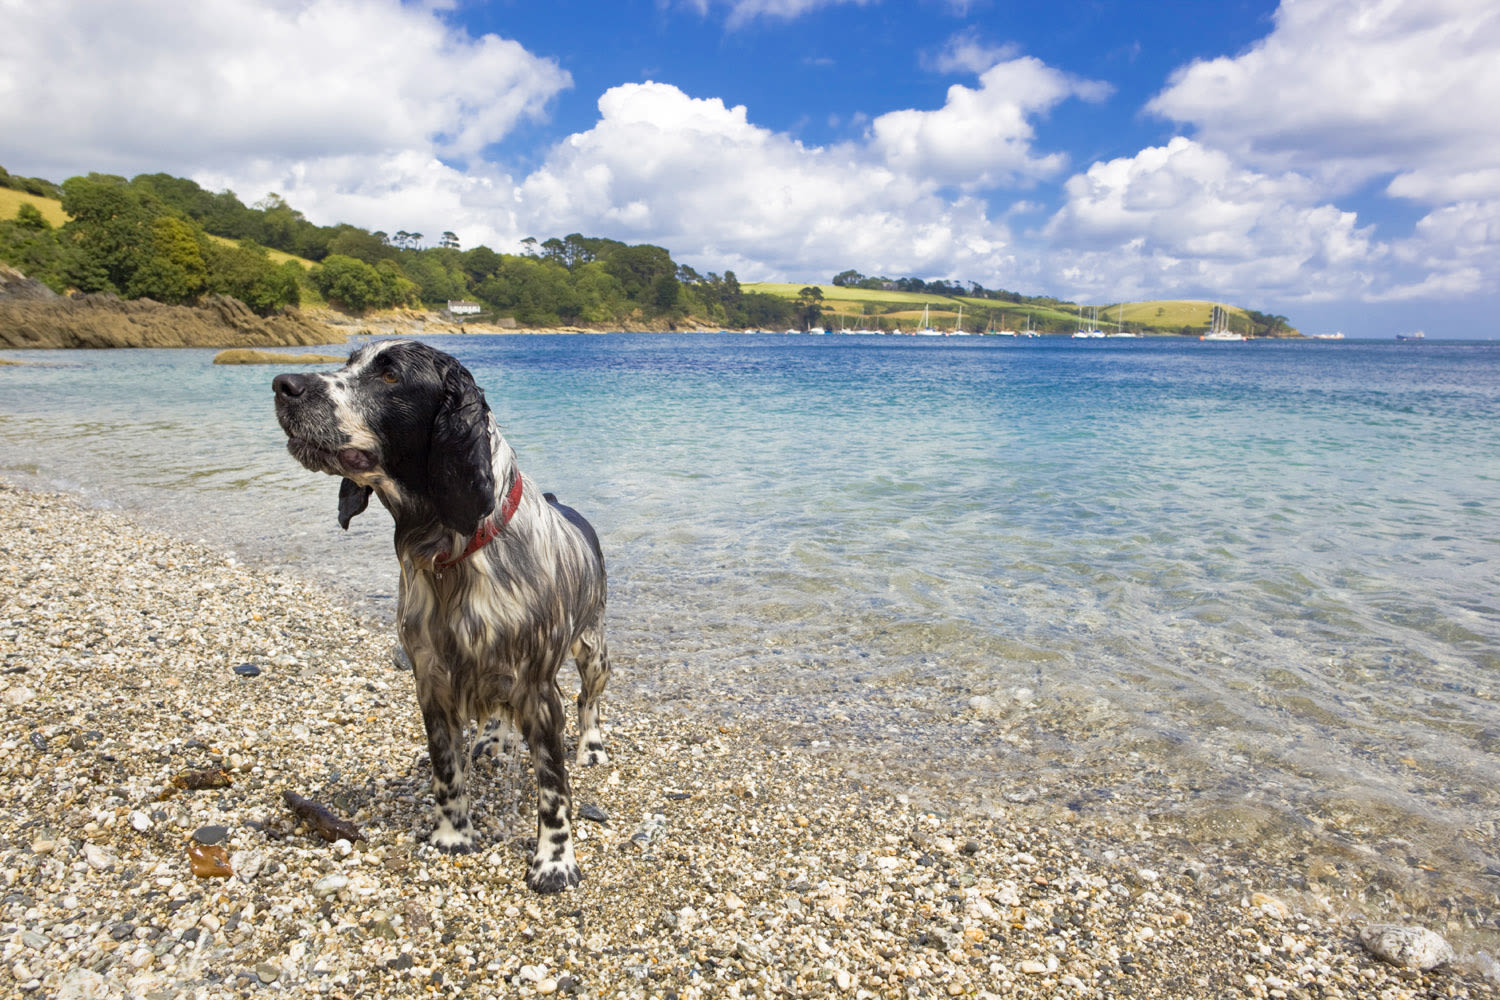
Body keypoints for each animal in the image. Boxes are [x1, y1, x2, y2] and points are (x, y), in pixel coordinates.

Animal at [276, 341, 609, 893]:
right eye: (348, 362)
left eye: (390, 375)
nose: (283, 385)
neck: (454, 551)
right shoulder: (432, 682)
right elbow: (447, 771)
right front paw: (453, 836)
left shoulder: (540, 692)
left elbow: (553, 792)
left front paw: (554, 862)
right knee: (498, 713)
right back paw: (494, 738)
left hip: (594, 650)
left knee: (590, 702)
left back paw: (593, 746)